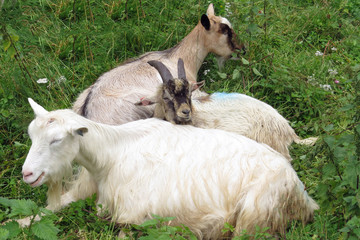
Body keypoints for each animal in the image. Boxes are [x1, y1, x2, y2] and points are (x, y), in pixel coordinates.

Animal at [21, 98, 318, 238]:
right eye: (31, 135)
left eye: (57, 139)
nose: (27, 174)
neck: (112, 153)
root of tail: (303, 195)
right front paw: (20, 221)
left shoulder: (135, 217)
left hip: (254, 217)